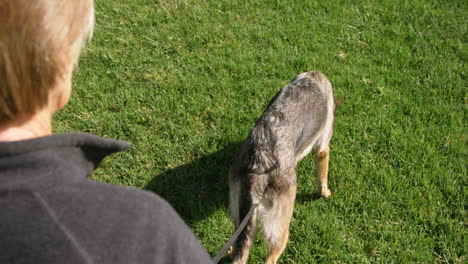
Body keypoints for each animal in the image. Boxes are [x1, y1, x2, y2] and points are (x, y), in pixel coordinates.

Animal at [229, 71, 342, 262]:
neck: (313, 78)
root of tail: (259, 167)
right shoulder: (323, 146)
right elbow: (323, 176)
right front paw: (325, 193)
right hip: (280, 228)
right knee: (270, 258)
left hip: (241, 218)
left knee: (237, 246)